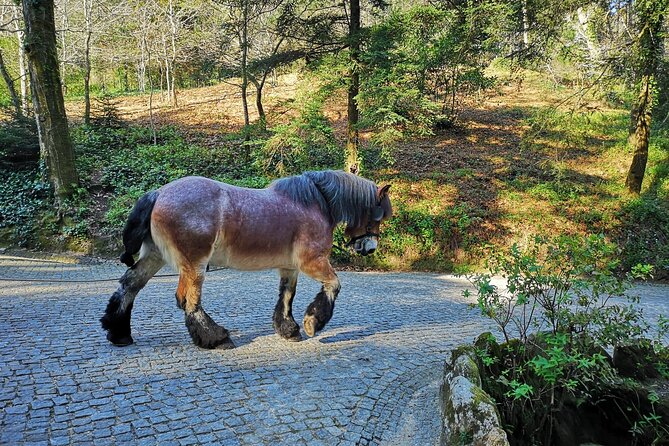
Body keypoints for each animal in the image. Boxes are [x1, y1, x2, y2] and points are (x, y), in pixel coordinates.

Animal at [100, 170, 392, 348]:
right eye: (377, 216)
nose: (370, 248)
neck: (315, 203)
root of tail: (158, 193)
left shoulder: (289, 267)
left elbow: (287, 296)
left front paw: (289, 329)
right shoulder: (313, 262)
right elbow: (333, 285)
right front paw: (313, 322)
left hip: (155, 256)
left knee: (129, 285)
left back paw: (119, 332)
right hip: (195, 264)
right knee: (189, 301)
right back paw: (216, 338)